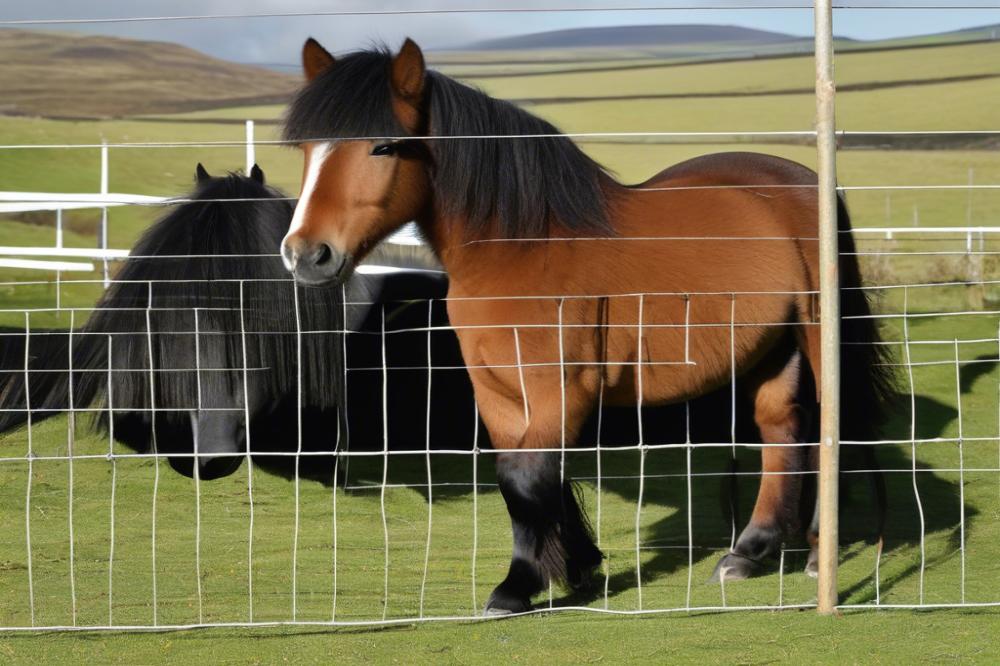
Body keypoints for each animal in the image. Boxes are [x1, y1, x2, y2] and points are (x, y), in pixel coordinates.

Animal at [278, 39, 888, 616]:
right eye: (307, 148)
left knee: (833, 427)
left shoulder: (562, 389)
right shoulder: (500, 393)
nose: (307, 255)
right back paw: (749, 550)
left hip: (818, 335)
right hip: (771, 350)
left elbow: (526, 478)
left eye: (383, 145)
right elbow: (527, 478)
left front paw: (518, 585)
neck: (522, 247)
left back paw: (818, 551)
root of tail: (803, 180)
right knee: (783, 431)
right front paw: (576, 565)